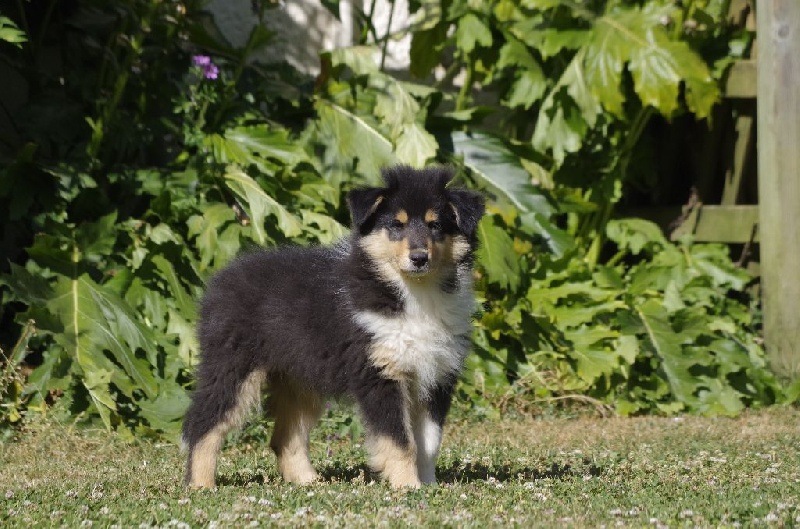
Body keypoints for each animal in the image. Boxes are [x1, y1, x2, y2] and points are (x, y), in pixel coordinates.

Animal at [181, 164, 484, 486]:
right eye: (396, 225)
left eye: (435, 225)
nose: (419, 258)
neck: (414, 293)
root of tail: (219, 279)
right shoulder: (380, 372)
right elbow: (400, 440)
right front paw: (408, 485)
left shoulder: (436, 375)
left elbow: (429, 441)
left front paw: (429, 485)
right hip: (232, 366)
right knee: (203, 423)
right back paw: (201, 485)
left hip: (299, 377)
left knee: (284, 438)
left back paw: (308, 482)